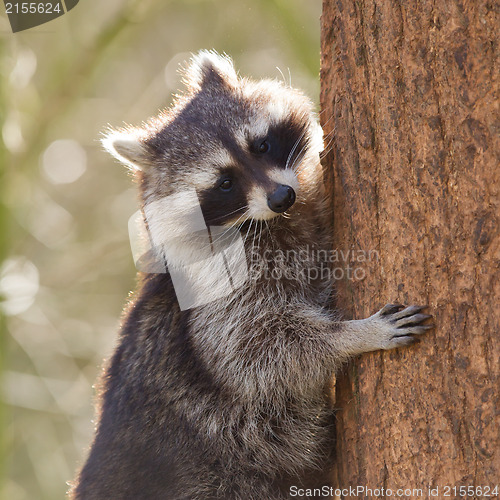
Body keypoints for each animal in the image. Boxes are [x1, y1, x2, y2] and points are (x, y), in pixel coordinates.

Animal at [71, 52, 434, 498]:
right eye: (225, 182)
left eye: (261, 145)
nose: (282, 197)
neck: (270, 222)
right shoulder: (217, 292)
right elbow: (255, 352)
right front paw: (353, 336)